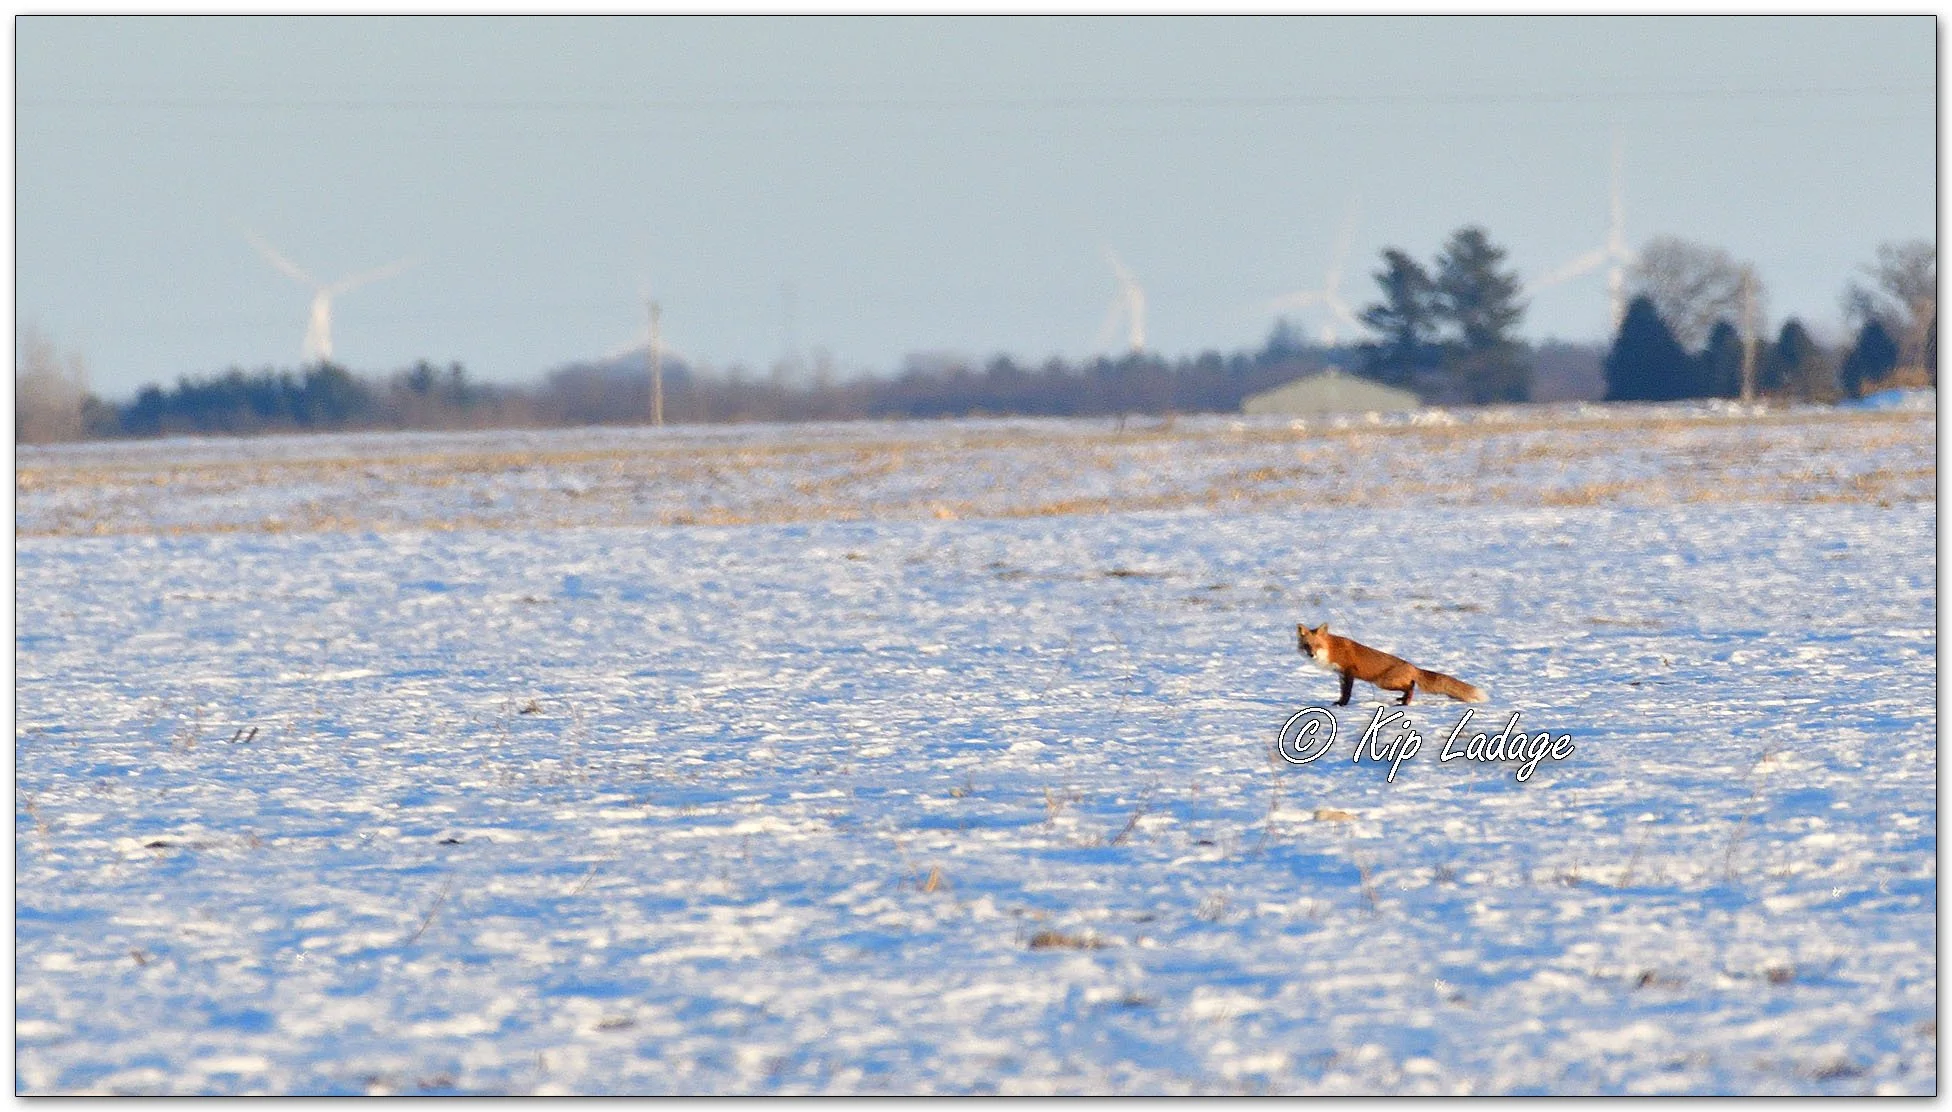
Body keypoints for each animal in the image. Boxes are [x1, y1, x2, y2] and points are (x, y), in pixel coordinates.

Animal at [1297, 622, 1488, 707]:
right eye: (1307, 645)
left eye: (1317, 645)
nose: (1311, 654)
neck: (1332, 649)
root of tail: (1413, 667)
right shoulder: (1341, 675)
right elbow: (1343, 692)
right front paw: (1338, 702)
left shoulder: (1349, 672)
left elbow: (1347, 693)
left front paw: (1343, 705)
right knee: (1411, 685)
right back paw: (1403, 700)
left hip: (1383, 682)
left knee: (1411, 686)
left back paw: (1405, 702)